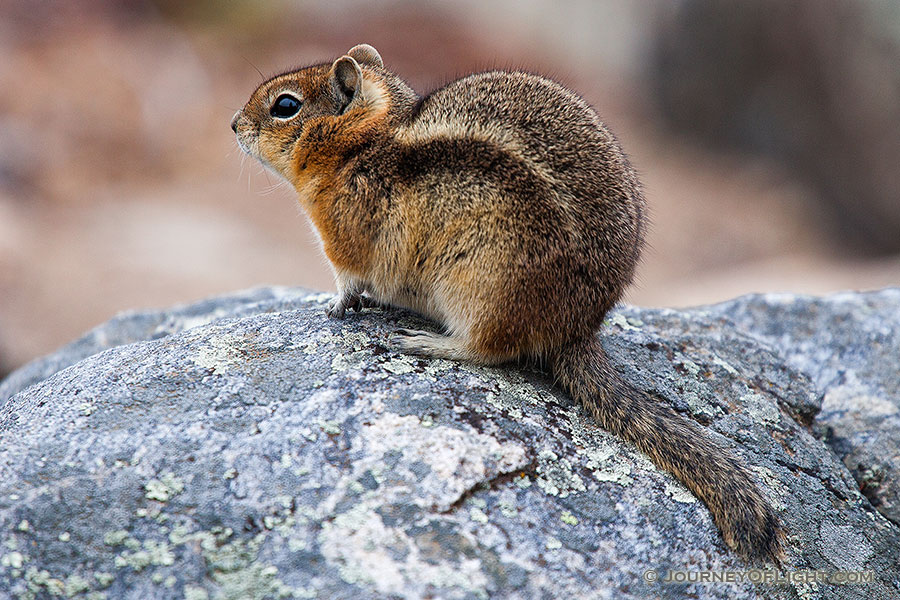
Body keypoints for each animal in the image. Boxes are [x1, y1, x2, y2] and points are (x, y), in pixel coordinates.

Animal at [232, 43, 780, 564]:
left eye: (285, 106)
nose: (234, 124)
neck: (361, 146)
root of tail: (577, 328)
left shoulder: (346, 241)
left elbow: (348, 280)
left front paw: (335, 306)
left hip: (479, 284)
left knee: (490, 350)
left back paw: (428, 342)